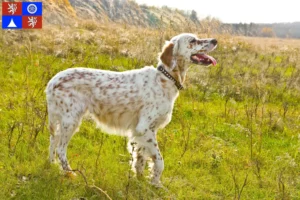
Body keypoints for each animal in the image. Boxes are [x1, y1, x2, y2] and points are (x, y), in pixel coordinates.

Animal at [45, 33, 218, 187]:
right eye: (193, 40)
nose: (215, 40)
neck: (164, 78)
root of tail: (52, 81)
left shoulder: (140, 131)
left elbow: (140, 159)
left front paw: (140, 181)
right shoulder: (145, 128)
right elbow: (159, 161)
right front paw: (156, 184)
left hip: (63, 121)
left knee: (53, 141)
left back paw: (52, 165)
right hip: (71, 121)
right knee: (60, 149)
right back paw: (70, 174)